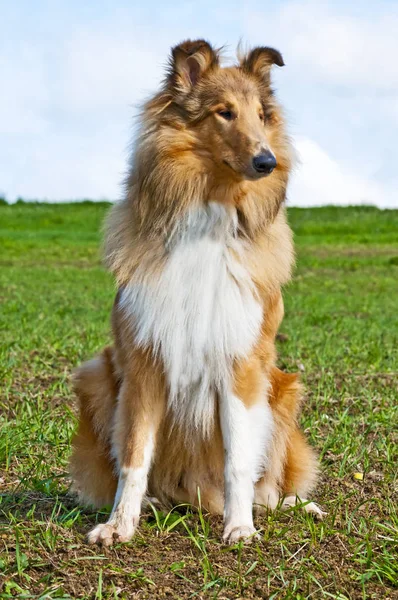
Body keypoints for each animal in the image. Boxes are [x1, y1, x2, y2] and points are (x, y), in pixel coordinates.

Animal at [68, 39, 324, 548]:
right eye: (224, 113)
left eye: (262, 114)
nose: (266, 162)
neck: (211, 215)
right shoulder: (145, 360)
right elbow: (134, 455)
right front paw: (119, 525)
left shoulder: (241, 364)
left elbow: (239, 460)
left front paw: (240, 527)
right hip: (98, 377)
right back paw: (151, 503)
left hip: (283, 391)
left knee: (271, 484)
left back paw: (291, 506)